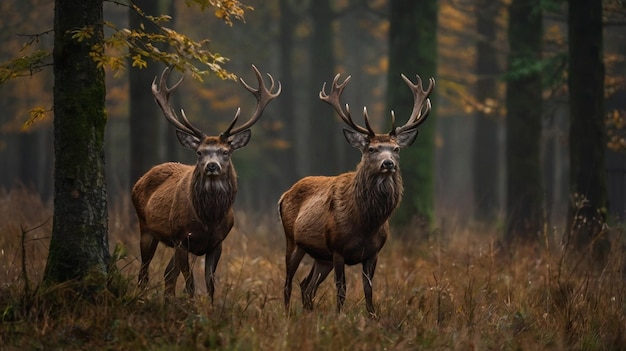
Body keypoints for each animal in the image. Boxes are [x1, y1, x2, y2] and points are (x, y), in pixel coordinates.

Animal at [132, 64, 280, 302]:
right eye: (199, 152)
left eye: (226, 152)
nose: (212, 166)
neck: (209, 218)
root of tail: (140, 180)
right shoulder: (182, 239)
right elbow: (191, 284)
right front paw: (192, 306)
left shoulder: (217, 242)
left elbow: (210, 285)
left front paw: (210, 307)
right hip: (145, 227)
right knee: (144, 272)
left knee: (167, 274)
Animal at [280, 73, 434, 314]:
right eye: (371, 149)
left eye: (396, 149)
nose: (388, 163)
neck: (366, 223)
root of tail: (284, 195)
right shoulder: (338, 249)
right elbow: (341, 290)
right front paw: (339, 316)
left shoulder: (373, 253)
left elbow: (369, 290)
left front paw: (371, 317)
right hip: (293, 241)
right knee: (287, 283)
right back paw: (287, 314)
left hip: (321, 257)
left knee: (306, 285)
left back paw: (308, 313)